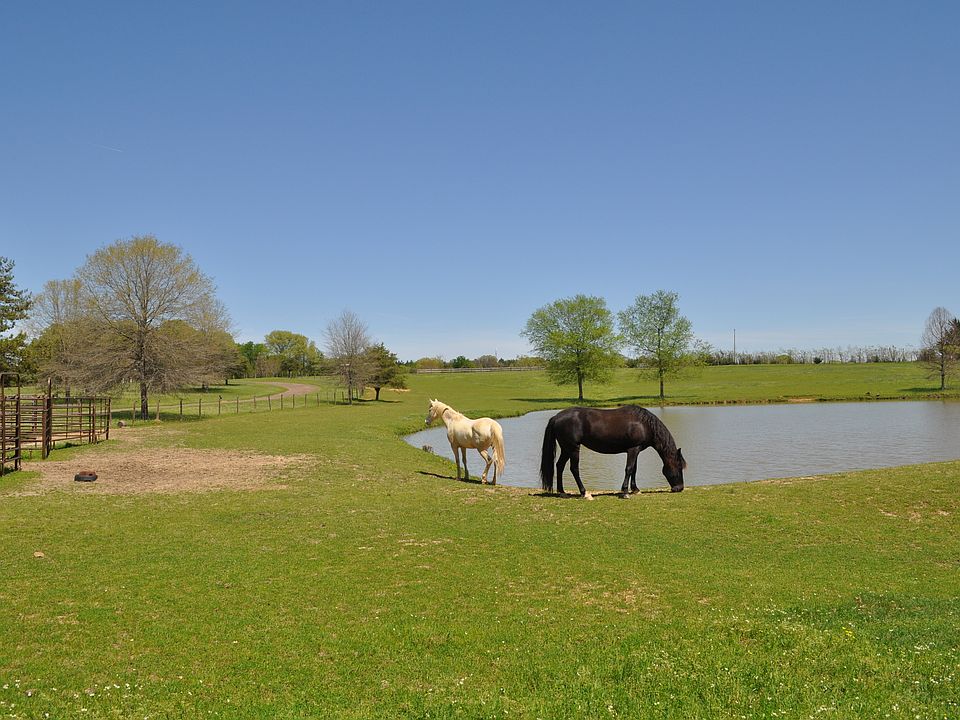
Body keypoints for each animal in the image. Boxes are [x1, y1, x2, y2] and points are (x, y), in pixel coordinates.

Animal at [539, 405, 686, 497]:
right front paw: (625, 492)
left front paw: (635, 489)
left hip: (566, 449)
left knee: (559, 466)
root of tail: (556, 417)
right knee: (574, 469)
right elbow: (629, 469)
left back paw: (562, 492)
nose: (680, 488)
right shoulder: (632, 450)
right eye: (679, 467)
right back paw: (584, 492)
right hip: (573, 448)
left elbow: (634, 469)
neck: (644, 424)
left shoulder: (636, 450)